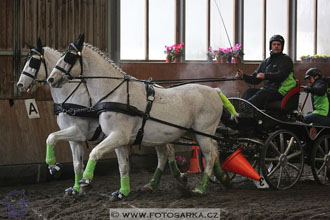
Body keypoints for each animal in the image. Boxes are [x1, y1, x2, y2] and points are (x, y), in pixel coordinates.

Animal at [17, 38, 186, 199]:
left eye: (33, 62)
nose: (20, 84)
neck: (71, 96)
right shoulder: (75, 138)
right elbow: (76, 164)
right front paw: (76, 188)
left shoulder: (78, 131)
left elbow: (51, 137)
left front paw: (54, 167)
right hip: (152, 136)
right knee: (164, 153)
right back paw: (156, 183)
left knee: (168, 151)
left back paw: (177, 177)